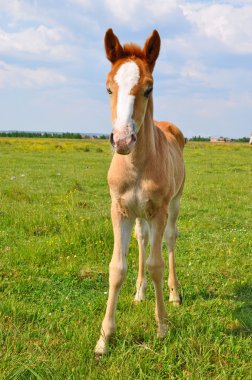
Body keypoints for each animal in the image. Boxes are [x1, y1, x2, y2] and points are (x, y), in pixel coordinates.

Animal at [94, 29, 185, 356]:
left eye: (149, 88)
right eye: (108, 88)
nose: (122, 140)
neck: (136, 165)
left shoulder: (158, 211)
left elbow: (156, 264)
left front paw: (162, 328)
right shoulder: (119, 209)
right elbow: (116, 268)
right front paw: (104, 338)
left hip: (173, 205)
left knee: (169, 241)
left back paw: (174, 294)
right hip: (138, 214)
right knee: (142, 240)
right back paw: (139, 292)